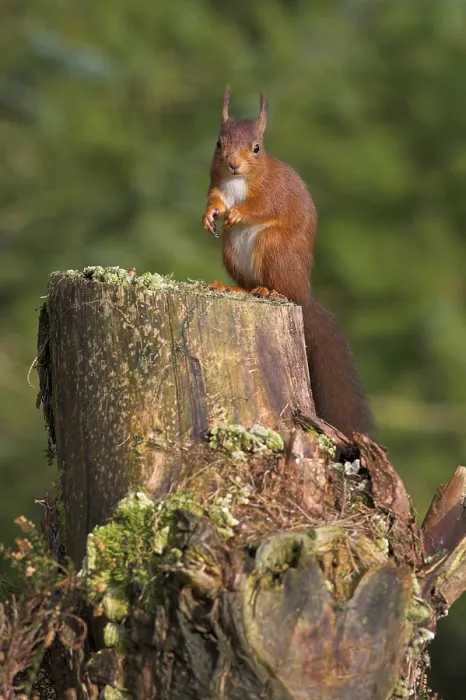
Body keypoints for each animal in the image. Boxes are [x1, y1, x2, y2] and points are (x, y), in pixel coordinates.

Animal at [202, 85, 373, 438]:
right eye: (218, 143)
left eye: (257, 147)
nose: (233, 165)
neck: (238, 182)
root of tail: (304, 296)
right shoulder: (217, 182)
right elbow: (215, 198)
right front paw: (210, 214)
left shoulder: (273, 191)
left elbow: (263, 206)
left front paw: (238, 214)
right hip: (231, 252)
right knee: (248, 284)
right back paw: (236, 288)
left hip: (274, 250)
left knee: (280, 287)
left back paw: (270, 291)